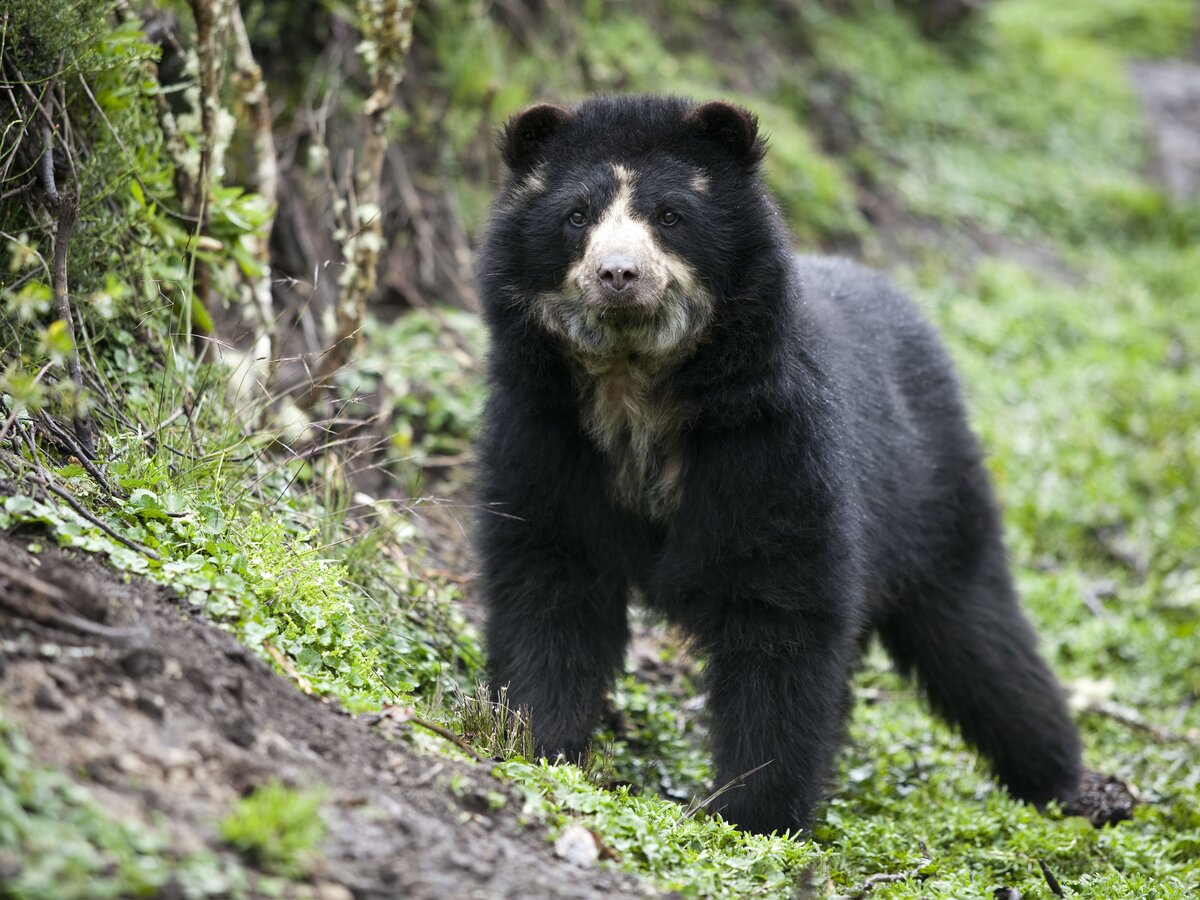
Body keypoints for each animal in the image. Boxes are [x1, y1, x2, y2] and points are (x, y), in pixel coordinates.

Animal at [472, 95, 1084, 835]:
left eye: (670, 214)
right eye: (577, 215)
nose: (618, 275)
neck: (635, 385)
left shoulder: (771, 443)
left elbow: (781, 613)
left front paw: (755, 812)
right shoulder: (545, 432)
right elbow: (548, 582)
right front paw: (534, 741)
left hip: (933, 490)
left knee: (978, 636)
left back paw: (1063, 780)